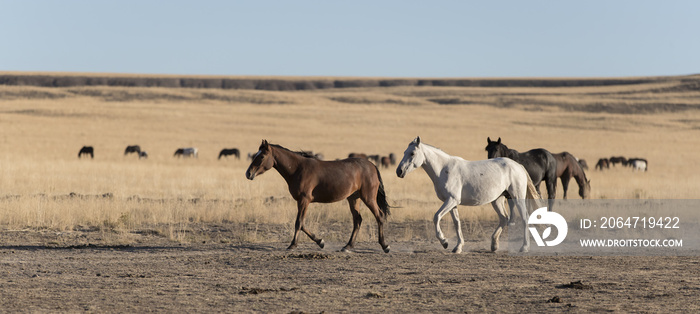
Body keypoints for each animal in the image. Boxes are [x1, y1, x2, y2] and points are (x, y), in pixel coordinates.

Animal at [246, 140, 392, 253]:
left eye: (262, 156)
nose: (248, 173)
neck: (298, 169)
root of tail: (372, 165)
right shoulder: (302, 201)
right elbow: (302, 223)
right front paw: (320, 242)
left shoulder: (304, 200)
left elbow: (299, 222)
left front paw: (293, 244)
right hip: (353, 198)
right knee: (358, 220)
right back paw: (347, 246)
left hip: (368, 198)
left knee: (379, 216)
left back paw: (385, 246)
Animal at [396, 137, 540, 253]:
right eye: (404, 152)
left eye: (412, 153)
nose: (399, 171)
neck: (444, 170)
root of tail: (518, 166)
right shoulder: (452, 203)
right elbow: (457, 223)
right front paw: (458, 247)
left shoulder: (451, 200)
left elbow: (436, 217)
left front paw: (444, 242)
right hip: (497, 200)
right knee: (504, 218)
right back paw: (494, 245)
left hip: (517, 197)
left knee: (525, 218)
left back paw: (524, 247)